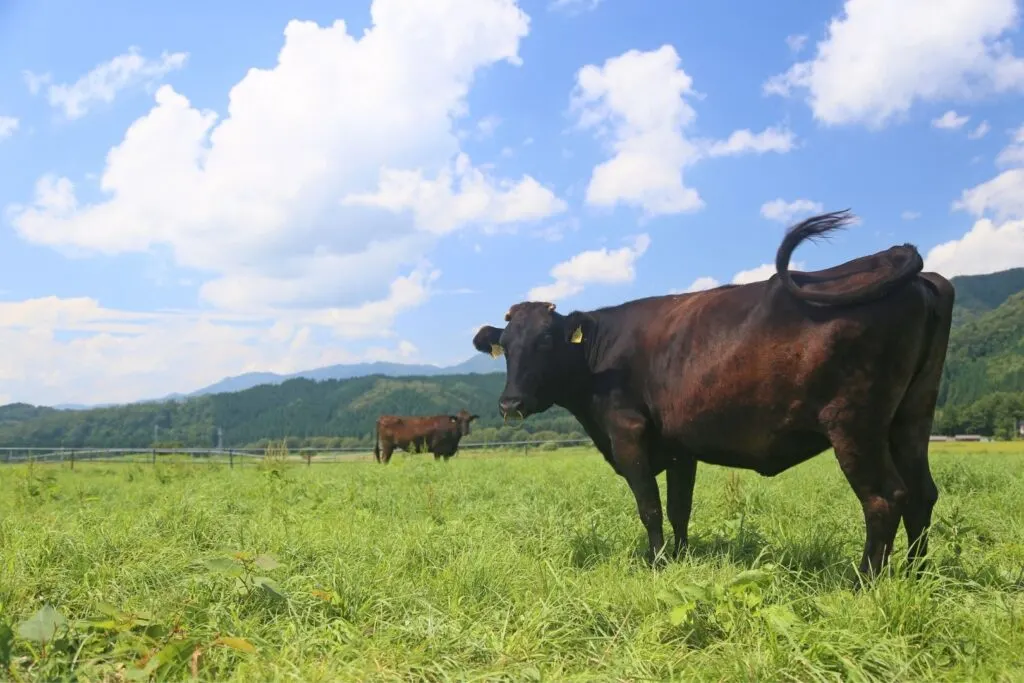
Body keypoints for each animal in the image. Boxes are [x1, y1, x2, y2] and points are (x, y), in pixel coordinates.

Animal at [468, 209, 950, 581]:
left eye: (547, 340)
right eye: (505, 346)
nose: (510, 404)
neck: (599, 359)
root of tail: (899, 262)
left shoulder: (627, 433)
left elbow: (650, 507)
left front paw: (656, 563)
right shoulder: (681, 447)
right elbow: (679, 507)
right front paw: (679, 558)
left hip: (855, 423)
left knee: (885, 498)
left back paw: (864, 582)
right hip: (911, 416)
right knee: (922, 493)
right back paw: (917, 575)